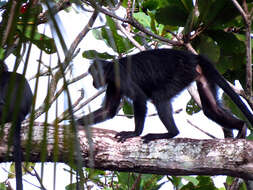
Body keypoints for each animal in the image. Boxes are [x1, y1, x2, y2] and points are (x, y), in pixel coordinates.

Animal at [76, 48, 251, 142]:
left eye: (93, 75)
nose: (93, 82)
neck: (111, 68)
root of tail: (192, 56)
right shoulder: (113, 84)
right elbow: (108, 111)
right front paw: (74, 123)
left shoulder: (120, 76)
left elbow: (139, 98)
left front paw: (134, 133)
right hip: (199, 74)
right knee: (211, 109)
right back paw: (241, 126)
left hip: (182, 72)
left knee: (159, 98)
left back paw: (171, 133)